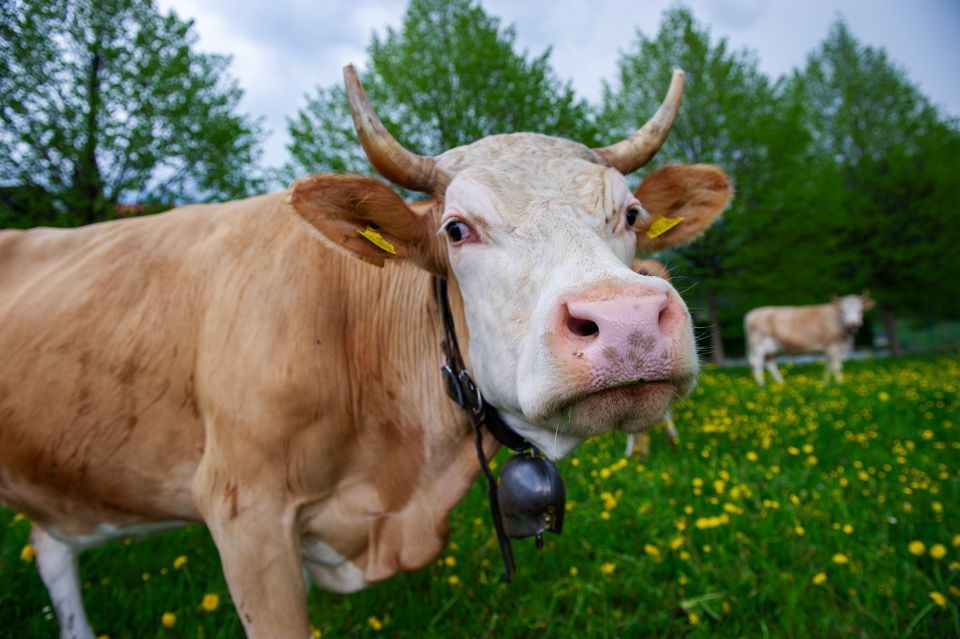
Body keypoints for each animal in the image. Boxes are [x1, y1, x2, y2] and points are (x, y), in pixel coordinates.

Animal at [744, 294, 875, 385]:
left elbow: (828, 366)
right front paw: (840, 384)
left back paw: (781, 383)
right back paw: (762, 384)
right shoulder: (833, 345)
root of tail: (751, 314)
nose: (854, 322)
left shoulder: (829, 347)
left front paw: (826, 383)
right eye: (843, 310)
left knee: (770, 364)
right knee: (757, 362)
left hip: (770, 348)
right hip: (758, 344)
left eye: (860, 310)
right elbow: (837, 366)